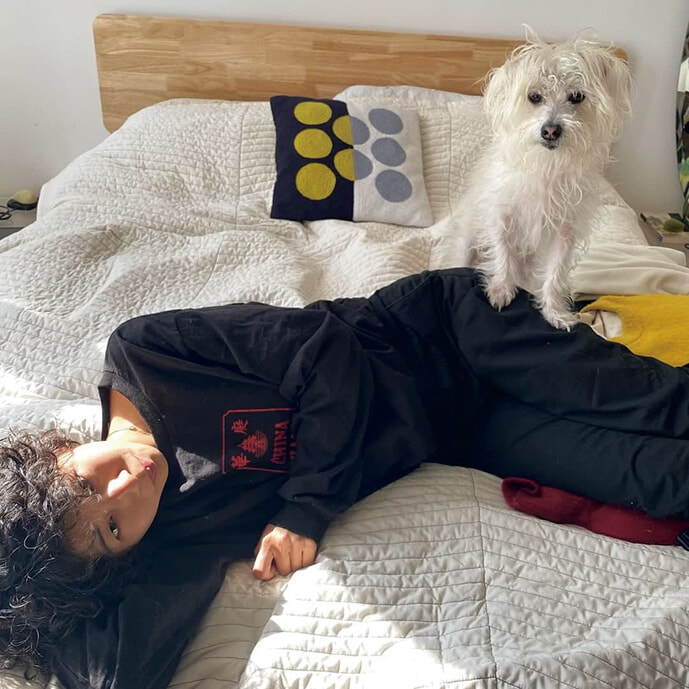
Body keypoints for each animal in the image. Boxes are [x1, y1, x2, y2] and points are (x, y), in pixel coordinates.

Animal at [455, 35, 633, 329]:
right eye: (534, 97)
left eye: (576, 97)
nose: (550, 130)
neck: (546, 166)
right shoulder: (500, 215)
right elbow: (502, 253)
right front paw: (501, 288)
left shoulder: (565, 231)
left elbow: (555, 273)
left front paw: (554, 312)